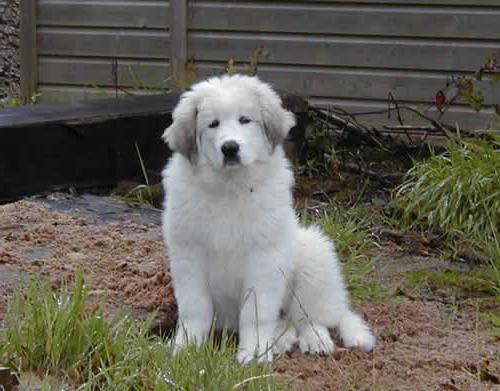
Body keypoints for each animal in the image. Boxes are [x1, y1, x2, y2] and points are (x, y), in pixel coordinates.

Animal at [161, 74, 376, 364]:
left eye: (245, 120)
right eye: (213, 124)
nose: (230, 148)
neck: (231, 187)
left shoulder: (263, 260)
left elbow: (255, 314)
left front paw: (252, 353)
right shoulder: (189, 256)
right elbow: (195, 310)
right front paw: (187, 350)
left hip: (314, 260)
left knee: (312, 317)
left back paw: (315, 340)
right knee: (287, 321)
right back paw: (281, 340)